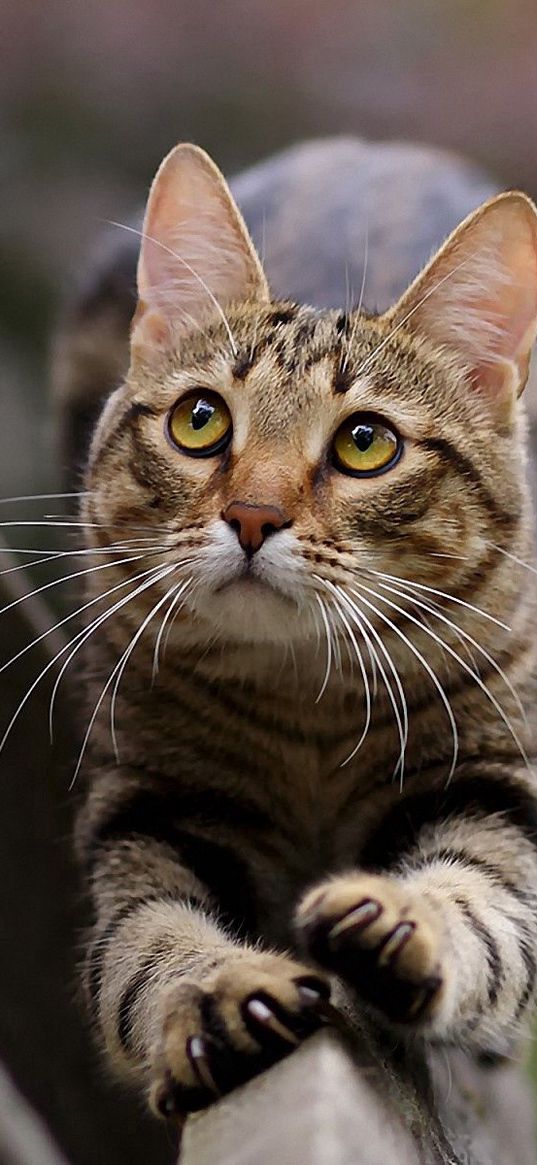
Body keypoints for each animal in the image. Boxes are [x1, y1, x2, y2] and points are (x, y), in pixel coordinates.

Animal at [73, 140, 535, 1123]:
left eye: (365, 442)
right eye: (199, 420)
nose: (252, 515)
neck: (305, 708)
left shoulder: (493, 775)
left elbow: (486, 898)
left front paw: (404, 922)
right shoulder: (150, 804)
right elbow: (144, 937)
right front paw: (218, 992)